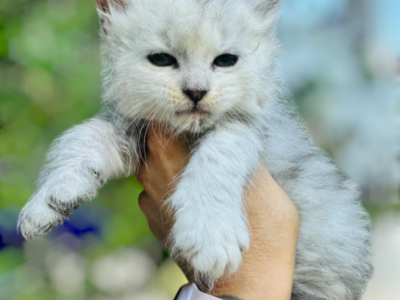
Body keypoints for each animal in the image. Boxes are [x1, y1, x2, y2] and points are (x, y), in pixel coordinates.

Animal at [18, 1, 374, 298]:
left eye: (226, 60)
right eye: (161, 59)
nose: (196, 92)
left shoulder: (247, 129)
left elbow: (216, 158)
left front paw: (209, 236)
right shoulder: (130, 130)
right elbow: (82, 138)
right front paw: (48, 201)